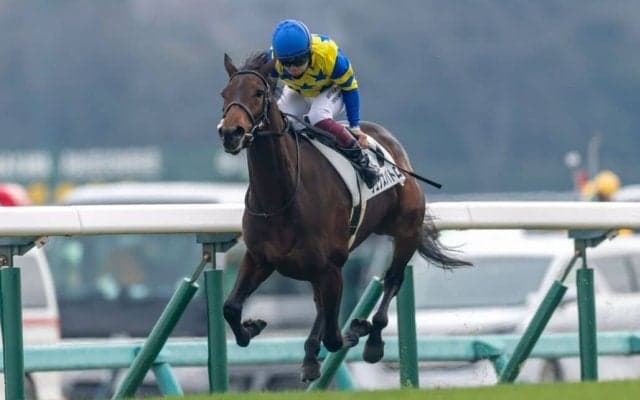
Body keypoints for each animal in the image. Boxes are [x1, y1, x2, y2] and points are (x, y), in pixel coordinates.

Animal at [217, 52, 470, 383]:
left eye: (258, 93)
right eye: (224, 94)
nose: (230, 133)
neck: (282, 196)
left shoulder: (330, 266)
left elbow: (334, 336)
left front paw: (356, 329)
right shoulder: (260, 258)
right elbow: (231, 307)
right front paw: (251, 327)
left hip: (405, 232)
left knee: (392, 279)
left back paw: (372, 339)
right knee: (322, 306)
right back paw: (311, 358)